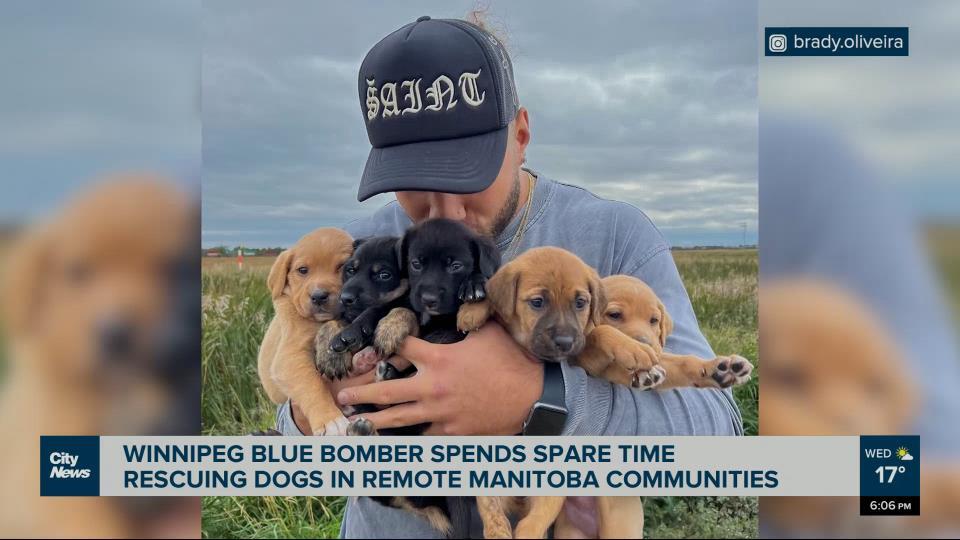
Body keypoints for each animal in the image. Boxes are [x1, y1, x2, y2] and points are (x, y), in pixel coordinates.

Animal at [256, 227, 354, 434]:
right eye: (302, 270)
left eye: (343, 267)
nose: (318, 296)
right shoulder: (288, 358)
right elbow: (312, 385)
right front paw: (331, 420)